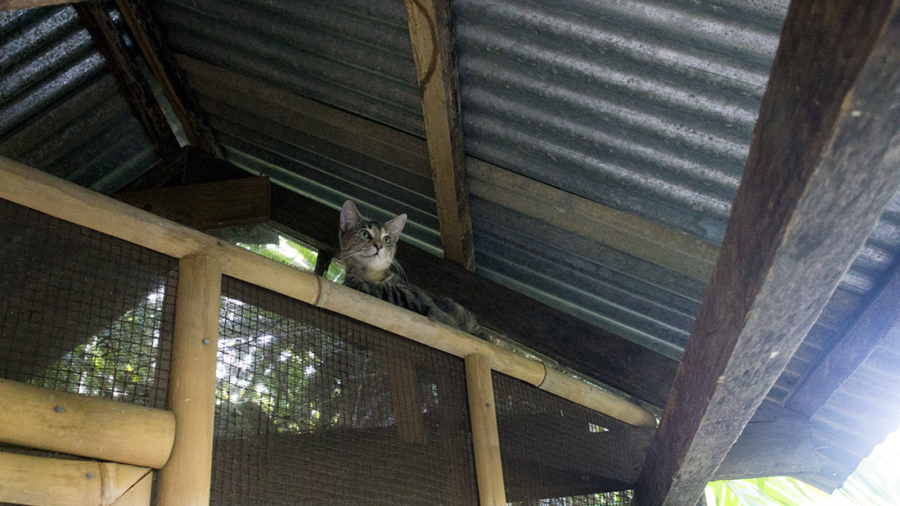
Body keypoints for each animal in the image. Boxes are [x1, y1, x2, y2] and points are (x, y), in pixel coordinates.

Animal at [340, 200, 492, 338]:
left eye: (387, 239)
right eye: (364, 234)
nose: (379, 245)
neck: (367, 272)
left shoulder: (411, 296)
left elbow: (385, 288)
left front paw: (356, 281)